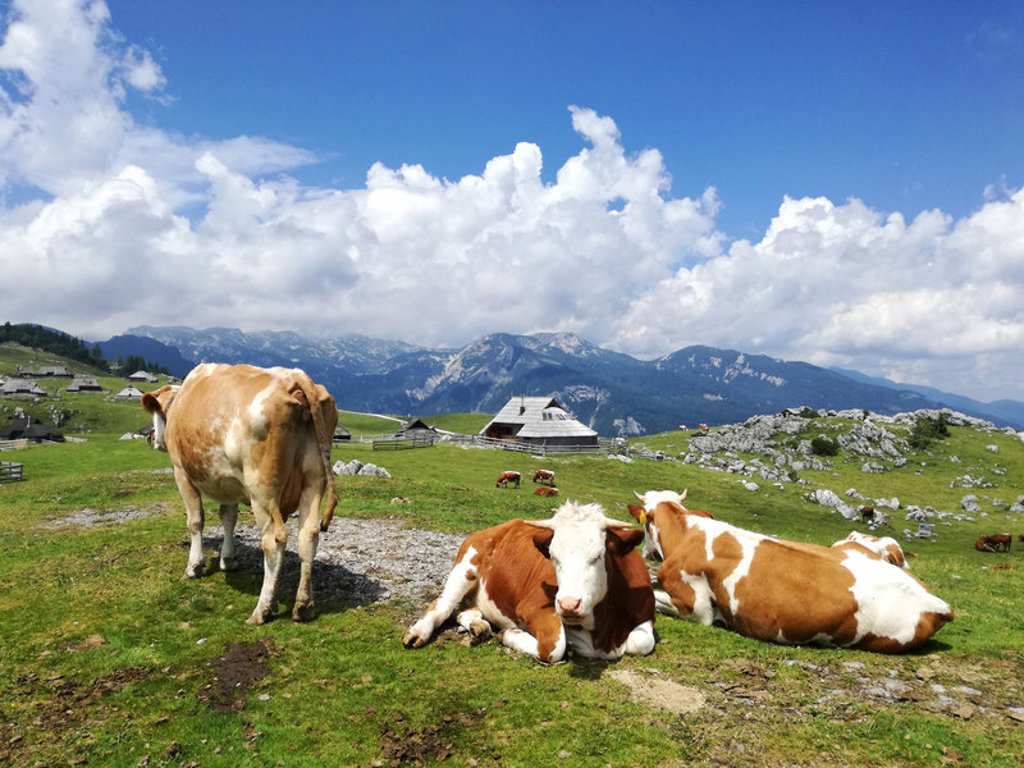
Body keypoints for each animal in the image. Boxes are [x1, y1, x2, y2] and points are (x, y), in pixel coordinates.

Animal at [142, 363, 338, 625]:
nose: (154, 440)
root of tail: (296, 377)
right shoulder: (229, 483)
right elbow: (228, 517)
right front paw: (228, 559)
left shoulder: (181, 472)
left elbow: (195, 521)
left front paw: (194, 567)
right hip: (314, 480)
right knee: (309, 535)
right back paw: (304, 605)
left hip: (262, 490)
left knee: (274, 541)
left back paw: (262, 610)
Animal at [402, 501, 656, 663]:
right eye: (553, 556)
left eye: (598, 556)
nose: (568, 605)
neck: (605, 630)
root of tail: (495, 528)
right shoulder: (535, 608)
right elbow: (554, 647)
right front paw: (509, 634)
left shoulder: (646, 612)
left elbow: (642, 641)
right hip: (465, 567)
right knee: (442, 605)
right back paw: (419, 632)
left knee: (463, 610)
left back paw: (478, 626)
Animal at [628, 490, 953, 653]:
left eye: (646, 522)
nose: (647, 553)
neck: (686, 535)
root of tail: (939, 604)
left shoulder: (696, 609)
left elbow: (658, 598)